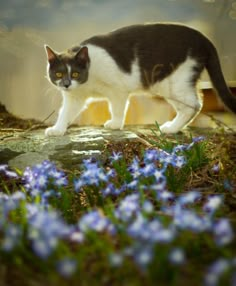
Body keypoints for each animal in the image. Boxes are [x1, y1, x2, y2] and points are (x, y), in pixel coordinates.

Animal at [44, 22, 236, 136]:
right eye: (59, 74)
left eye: (75, 73)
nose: (67, 84)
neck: (89, 78)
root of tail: (203, 38)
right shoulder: (74, 97)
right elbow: (66, 112)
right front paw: (58, 129)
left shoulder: (118, 89)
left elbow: (117, 107)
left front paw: (116, 124)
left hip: (173, 81)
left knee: (194, 104)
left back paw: (171, 128)